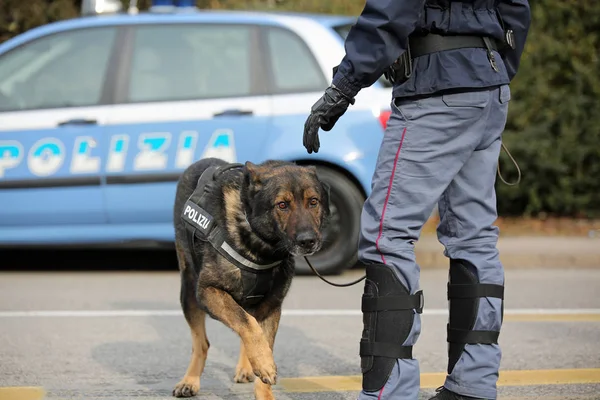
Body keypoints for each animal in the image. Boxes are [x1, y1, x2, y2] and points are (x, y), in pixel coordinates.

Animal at [171, 158, 330, 398]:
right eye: (282, 205)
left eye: (313, 202)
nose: (308, 241)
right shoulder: (208, 291)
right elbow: (247, 324)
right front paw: (264, 363)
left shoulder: (271, 306)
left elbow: (255, 332)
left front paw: (263, 385)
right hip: (188, 293)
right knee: (202, 343)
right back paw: (190, 380)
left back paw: (246, 368)